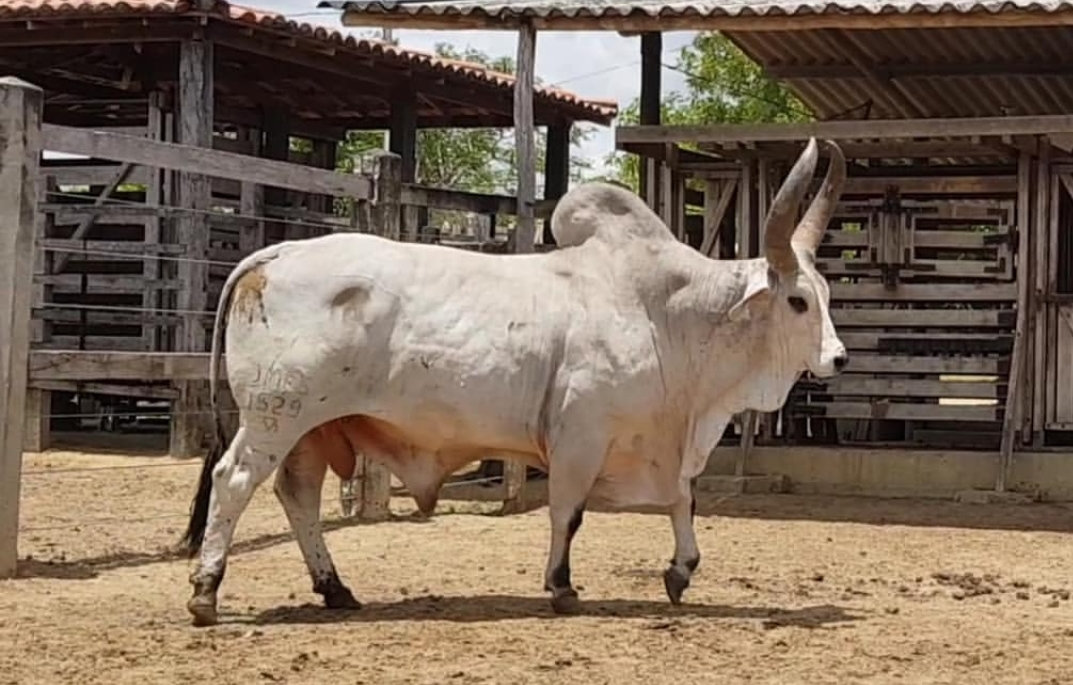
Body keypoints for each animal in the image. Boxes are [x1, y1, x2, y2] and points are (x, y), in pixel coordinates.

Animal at [180, 135, 845, 627]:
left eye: (825, 294)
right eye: (796, 301)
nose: (836, 358)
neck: (664, 312)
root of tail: (274, 255)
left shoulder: (660, 440)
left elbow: (683, 499)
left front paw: (680, 571)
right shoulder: (580, 437)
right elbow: (567, 514)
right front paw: (562, 587)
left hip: (310, 428)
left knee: (297, 495)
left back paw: (335, 587)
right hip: (275, 416)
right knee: (233, 481)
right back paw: (206, 591)